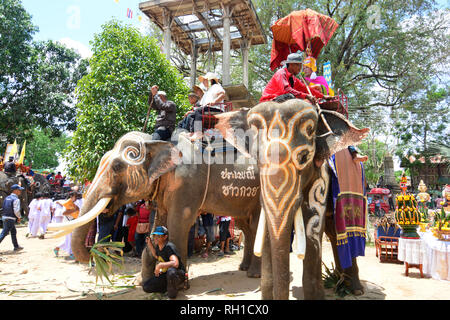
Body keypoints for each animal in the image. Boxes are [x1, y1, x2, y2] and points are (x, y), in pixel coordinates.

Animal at [47, 131, 262, 278]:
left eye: (117, 166)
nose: (95, 250)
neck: (155, 141)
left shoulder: (188, 183)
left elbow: (178, 225)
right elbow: (159, 224)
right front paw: (145, 280)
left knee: (255, 225)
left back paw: (253, 274)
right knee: (246, 226)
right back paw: (243, 268)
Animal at [214, 99, 370, 298]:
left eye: (304, 157)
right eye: (257, 160)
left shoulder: (321, 176)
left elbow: (312, 230)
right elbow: (265, 232)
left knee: (338, 231)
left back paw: (355, 289)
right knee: (333, 234)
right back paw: (337, 282)